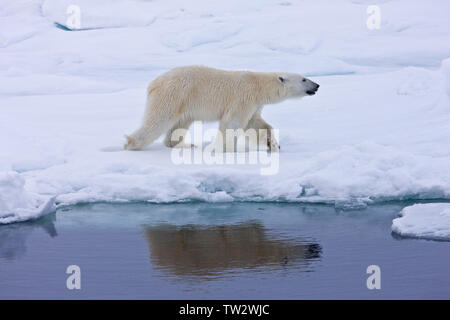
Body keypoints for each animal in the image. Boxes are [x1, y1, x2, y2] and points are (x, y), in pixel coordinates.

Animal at [125, 65, 318, 152]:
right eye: (304, 79)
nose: (317, 85)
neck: (258, 85)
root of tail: (154, 83)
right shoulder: (243, 98)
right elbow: (233, 123)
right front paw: (227, 149)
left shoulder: (255, 104)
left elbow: (256, 124)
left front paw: (273, 144)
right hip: (174, 95)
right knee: (159, 120)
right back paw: (131, 144)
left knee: (179, 124)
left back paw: (185, 144)